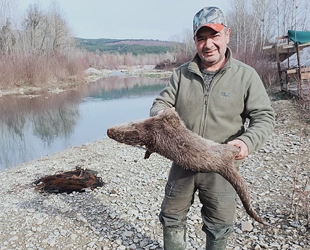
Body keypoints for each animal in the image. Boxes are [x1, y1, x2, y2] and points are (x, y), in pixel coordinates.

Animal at [106, 108, 268, 226]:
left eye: (116, 133)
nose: (108, 131)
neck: (153, 130)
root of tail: (224, 164)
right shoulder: (165, 124)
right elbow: (171, 116)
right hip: (226, 151)